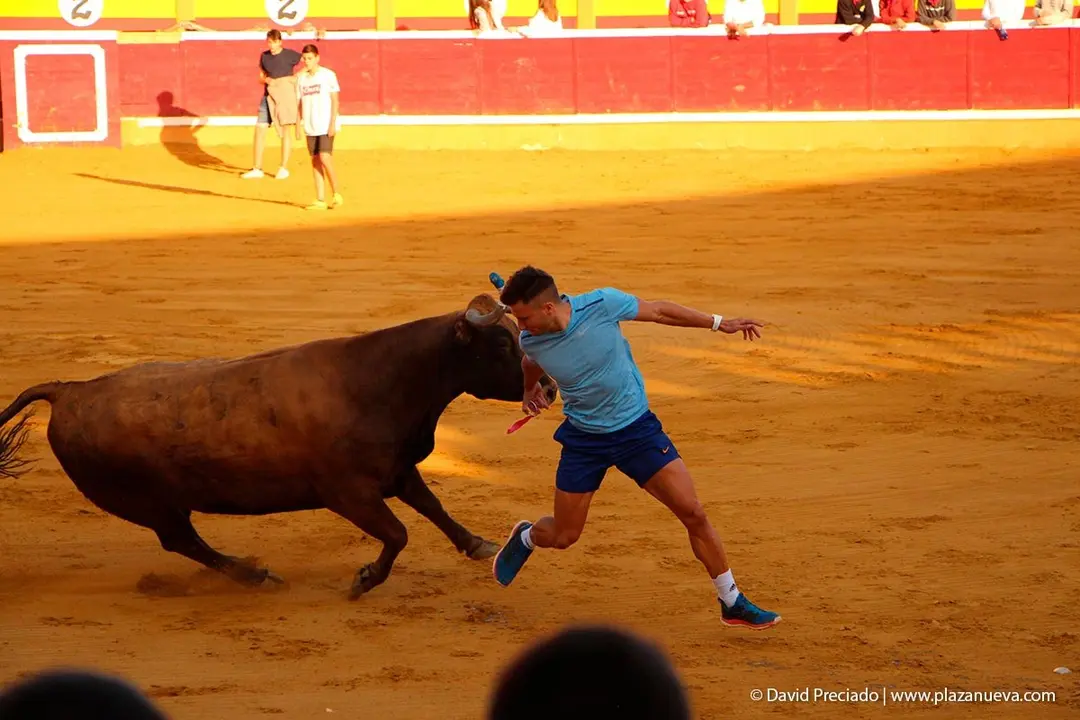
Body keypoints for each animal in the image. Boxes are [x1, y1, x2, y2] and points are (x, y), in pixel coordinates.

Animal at [0, 293, 556, 599]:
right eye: (501, 343)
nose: (549, 389)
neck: (381, 380)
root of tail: (69, 390)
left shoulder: (396, 470)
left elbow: (434, 506)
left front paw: (477, 544)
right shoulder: (348, 493)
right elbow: (398, 533)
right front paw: (363, 580)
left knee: (184, 541)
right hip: (146, 502)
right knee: (182, 540)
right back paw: (255, 576)